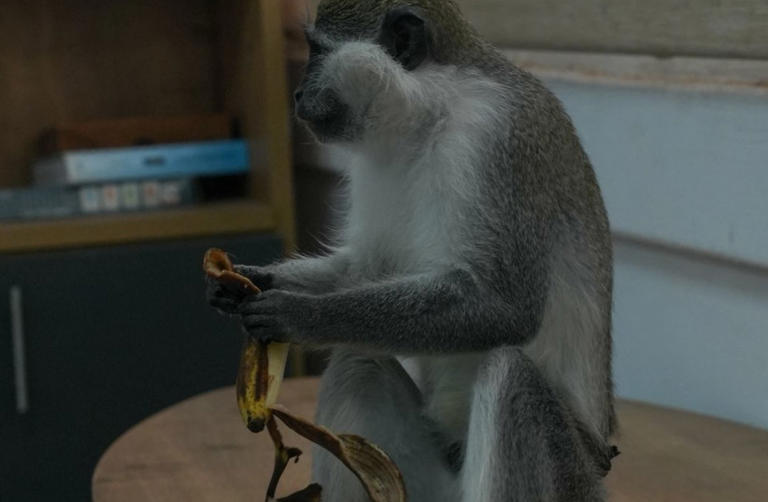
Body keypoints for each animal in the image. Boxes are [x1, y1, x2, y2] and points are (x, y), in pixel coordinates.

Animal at [207, 0, 616, 500]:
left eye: (317, 50)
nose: (298, 93)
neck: (430, 110)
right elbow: (366, 269)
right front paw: (250, 282)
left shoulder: (496, 136)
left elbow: (504, 307)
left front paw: (301, 315)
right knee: (359, 362)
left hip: (571, 480)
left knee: (509, 375)